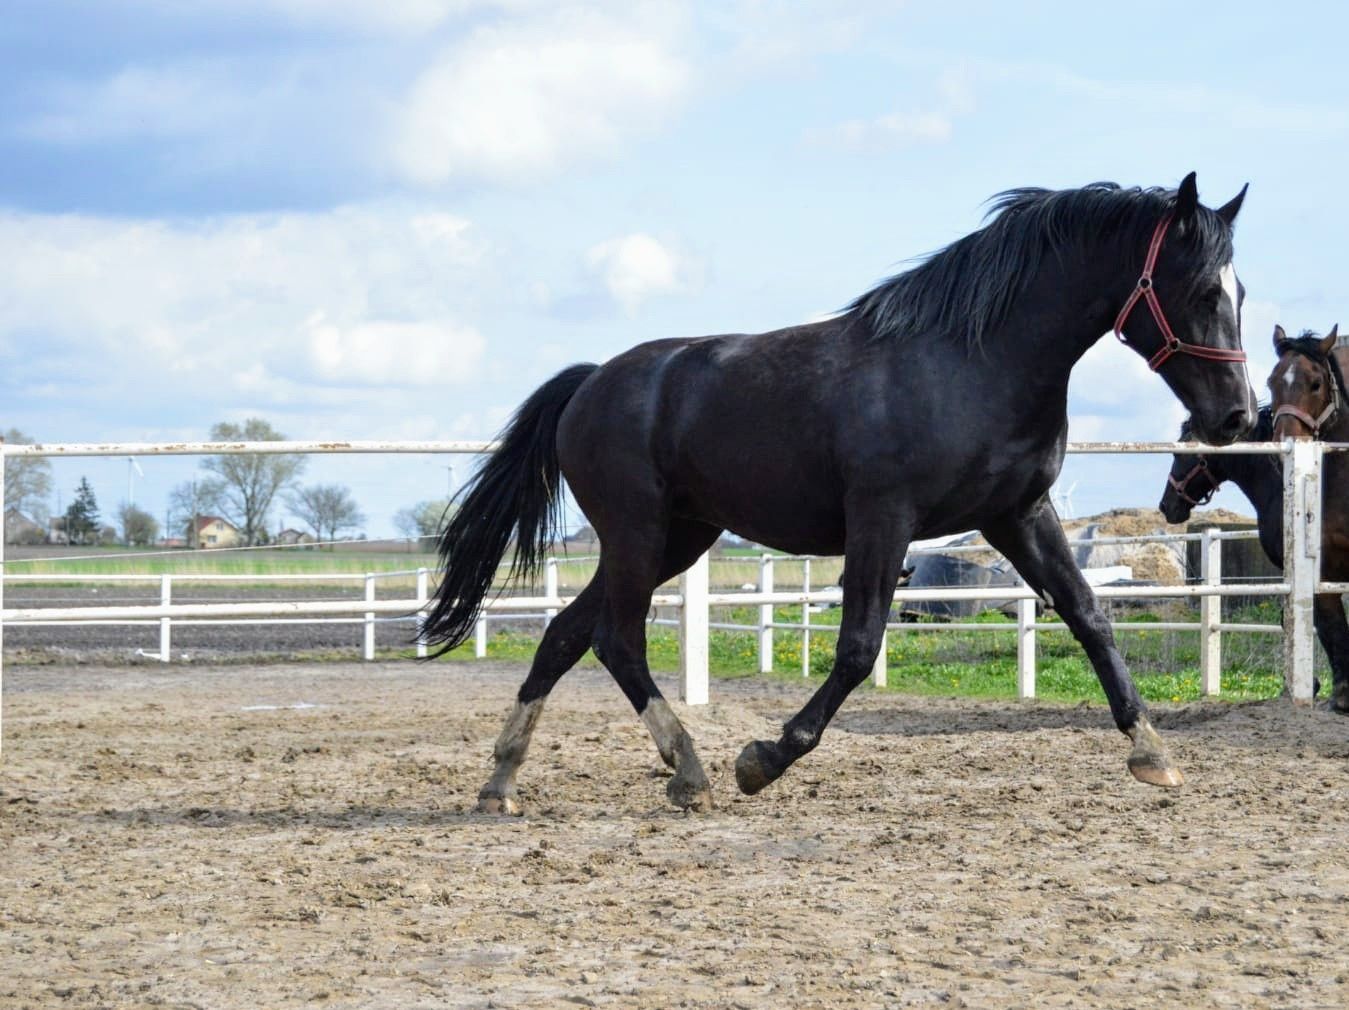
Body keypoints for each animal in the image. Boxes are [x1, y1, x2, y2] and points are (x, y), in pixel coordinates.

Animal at [423, 169, 1251, 809]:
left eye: (1238, 288)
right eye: (1201, 289)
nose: (1234, 416)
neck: (973, 362)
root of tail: (591, 382)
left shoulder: (1017, 514)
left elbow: (1088, 617)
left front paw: (1150, 752)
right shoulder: (883, 516)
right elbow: (857, 647)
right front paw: (763, 759)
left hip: (676, 537)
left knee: (565, 635)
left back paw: (501, 783)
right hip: (638, 532)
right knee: (613, 639)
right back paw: (689, 772)